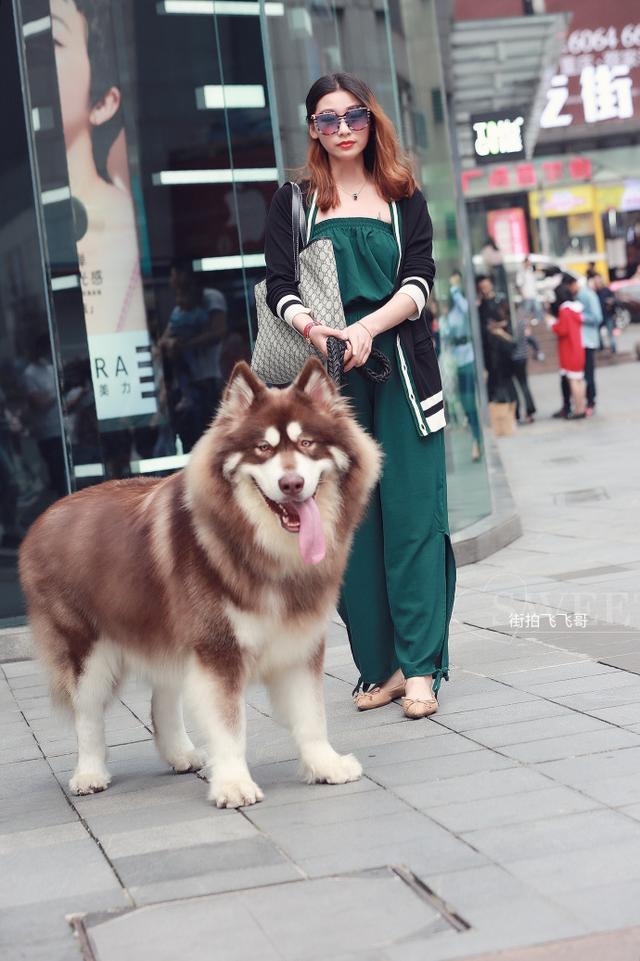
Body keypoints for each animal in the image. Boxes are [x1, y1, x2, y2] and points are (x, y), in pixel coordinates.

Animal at [18, 360, 380, 804]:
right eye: (263, 449)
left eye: (307, 443)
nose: (291, 484)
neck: (263, 550)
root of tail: (44, 517)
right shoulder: (217, 648)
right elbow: (229, 725)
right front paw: (234, 783)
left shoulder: (299, 640)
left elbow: (311, 714)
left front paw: (325, 765)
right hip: (86, 649)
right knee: (87, 714)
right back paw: (89, 774)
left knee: (162, 700)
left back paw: (181, 754)